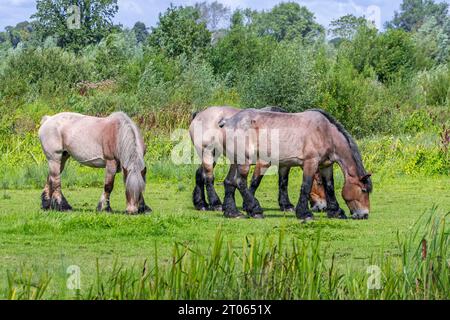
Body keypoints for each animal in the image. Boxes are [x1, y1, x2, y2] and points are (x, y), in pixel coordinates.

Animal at [188, 105, 326, 215]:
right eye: (319, 182)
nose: (323, 207)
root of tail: (199, 115)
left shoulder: (284, 164)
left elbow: (283, 182)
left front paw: (286, 205)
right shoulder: (263, 162)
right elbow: (255, 181)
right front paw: (249, 205)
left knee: (200, 174)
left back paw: (201, 204)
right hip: (208, 152)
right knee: (208, 177)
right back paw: (215, 203)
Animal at [219, 109, 372, 221]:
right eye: (364, 190)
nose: (364, 215)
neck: (326, 133)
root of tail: (228, 122)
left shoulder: (325, 166)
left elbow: (330, 187)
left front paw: (336, 212)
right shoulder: (311, 162)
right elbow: (306, 186)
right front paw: (305, 214)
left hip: (235, 161)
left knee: (229, 181)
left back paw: (232, 212)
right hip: (244, 160)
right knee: (240, 182)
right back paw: (255, 210)